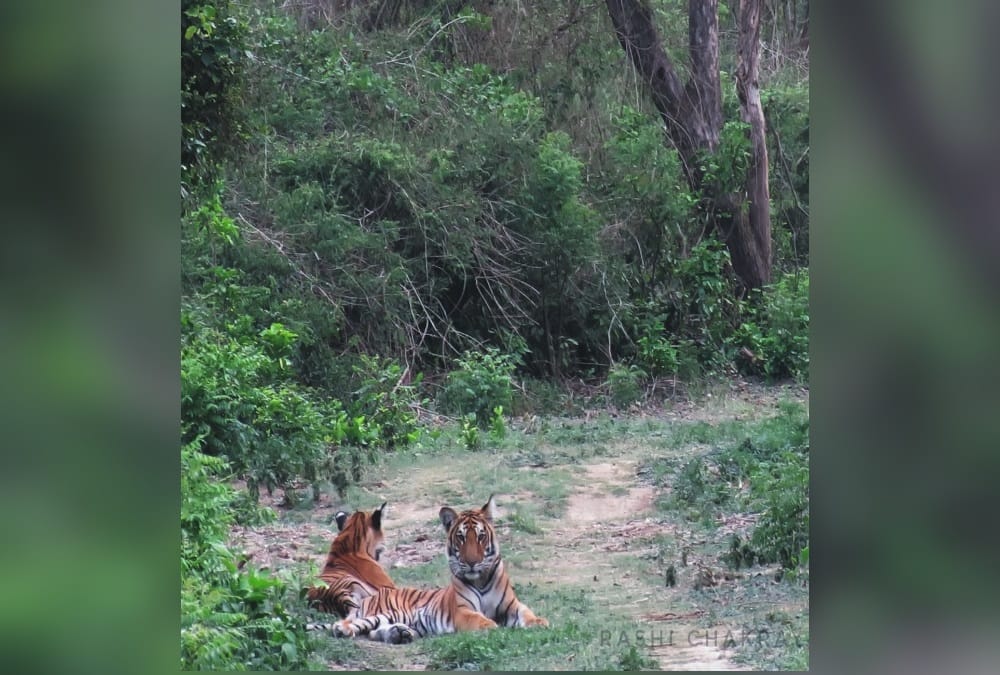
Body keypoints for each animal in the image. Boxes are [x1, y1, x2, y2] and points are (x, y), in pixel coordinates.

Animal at [330, 495, 548, 644]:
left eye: (480, 536)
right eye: (461, 537)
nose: (472, 562)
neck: (481, 579)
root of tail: (373, 595)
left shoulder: (513, 605)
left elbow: (527, 613)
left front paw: (539, 622)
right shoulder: (463, 611)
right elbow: (479, 618)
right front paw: (490, 625)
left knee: (374, 631)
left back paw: (399, 634)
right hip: (385, 613)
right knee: (352, 624)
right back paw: (342, 630)